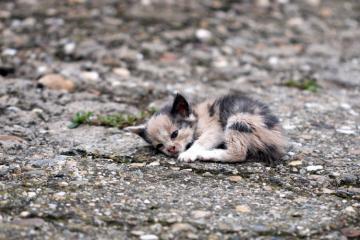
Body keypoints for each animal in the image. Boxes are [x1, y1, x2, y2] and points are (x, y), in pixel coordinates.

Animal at [126, 93, 286, 164]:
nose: (171, 149)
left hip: (239, 120)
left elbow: (201, 141)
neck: (196, 116)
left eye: (174, 134)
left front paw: (189, 153)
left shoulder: (216, 129)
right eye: (159, 145)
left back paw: (206, 155)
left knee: (238, 153)